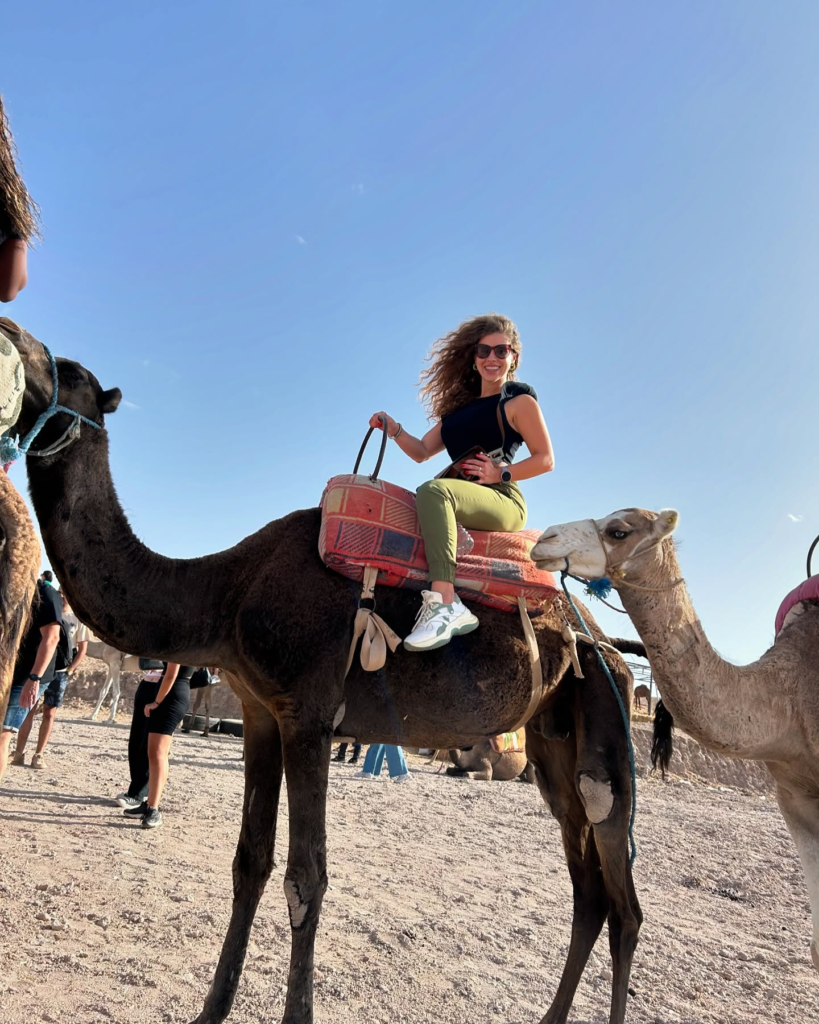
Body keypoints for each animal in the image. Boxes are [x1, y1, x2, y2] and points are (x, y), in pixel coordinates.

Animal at [6, 318, 644, 1024]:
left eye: (64, 371)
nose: (10, 328)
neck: (226, 594)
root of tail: (601, 637)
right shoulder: (261, 711)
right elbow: (249, 861)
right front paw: (211, 1009)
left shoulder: (309, 716)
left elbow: (305, 878)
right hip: (552, 737)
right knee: (588, 889)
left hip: (605, 711)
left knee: (624, 901)